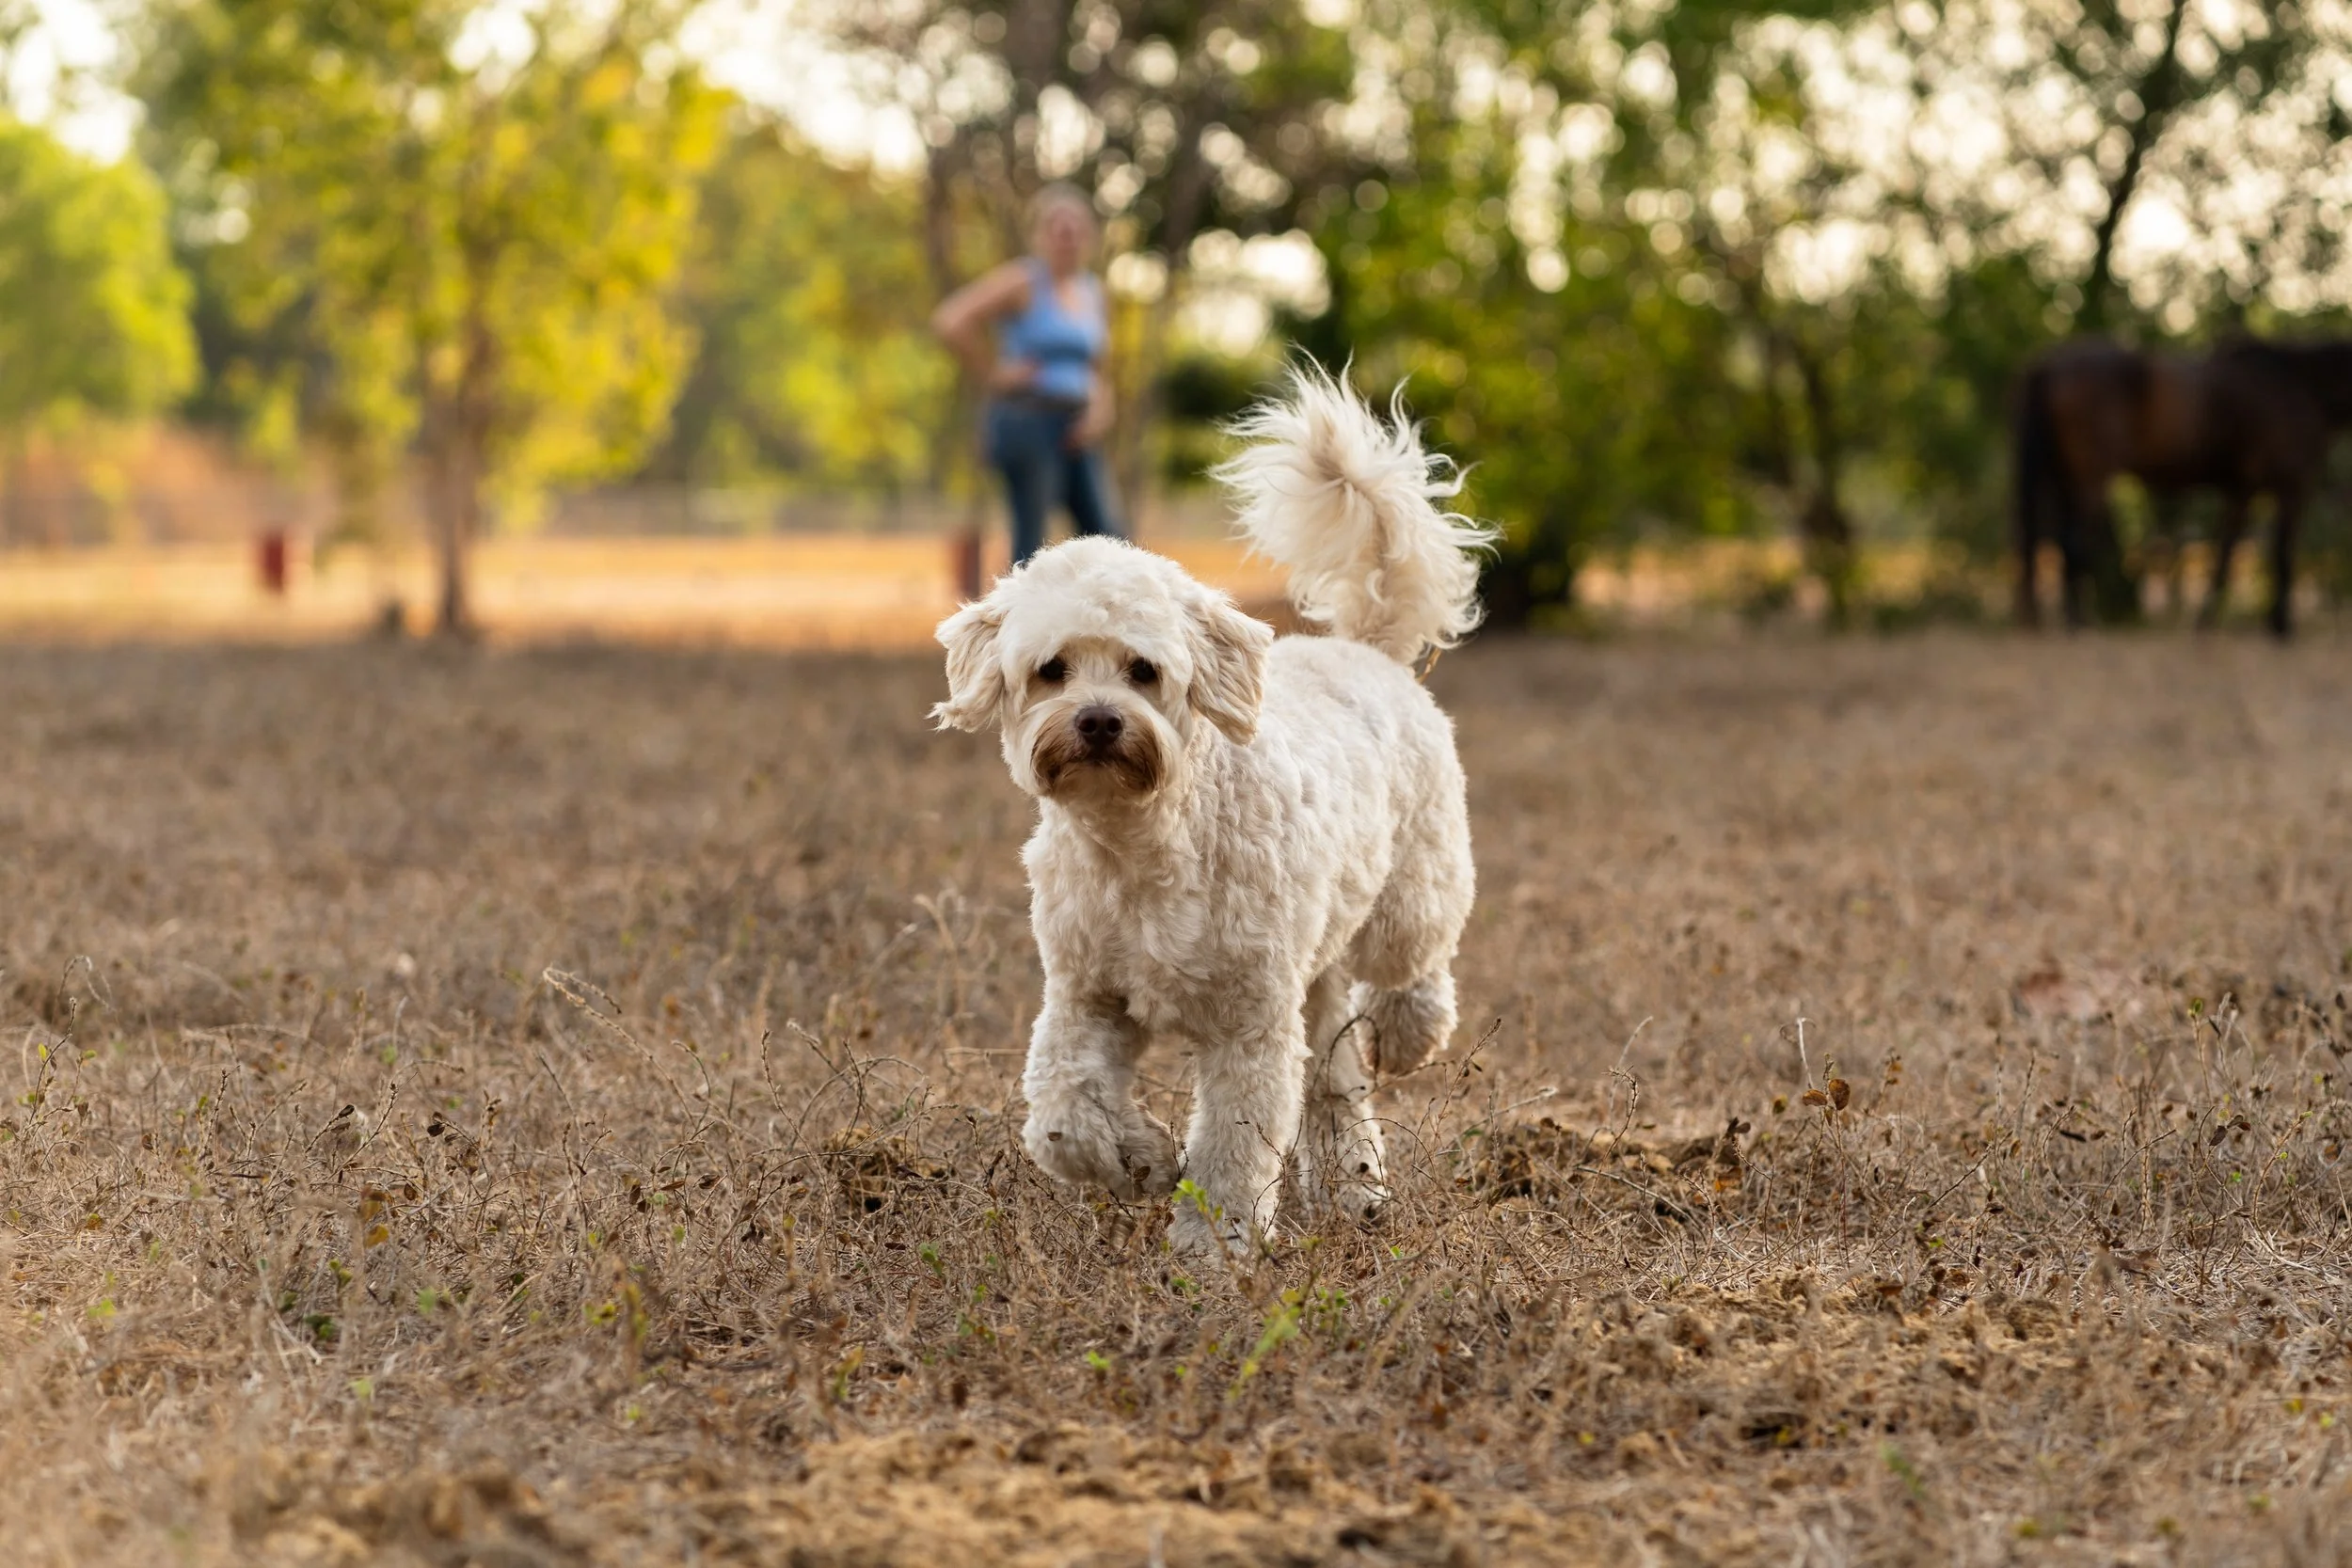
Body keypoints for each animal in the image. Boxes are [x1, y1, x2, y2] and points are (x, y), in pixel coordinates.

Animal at [2013, 336, 2352, 637]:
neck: (2302, 388)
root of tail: (2048, 364)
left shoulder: (2240, 490)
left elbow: (2225, 552)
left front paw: (2205, 622)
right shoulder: (2290, 485)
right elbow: (2281, 553)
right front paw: (2281, 627)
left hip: (2062, 479)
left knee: (2055, 541)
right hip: (2090, 479)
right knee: (2073, 543)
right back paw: (2078, 623)